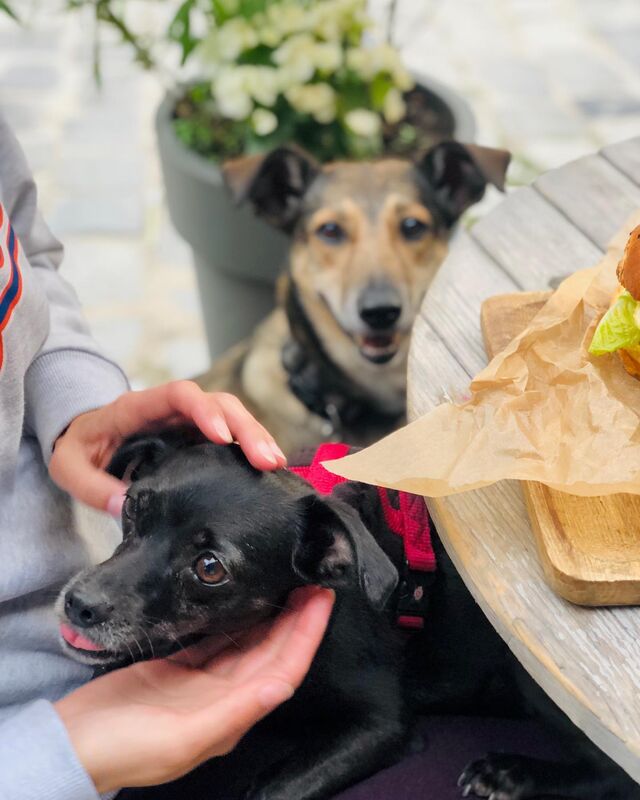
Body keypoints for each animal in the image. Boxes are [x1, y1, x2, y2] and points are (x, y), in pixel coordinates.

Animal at [58, 429, 639, 800]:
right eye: (132, 506)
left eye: (210, 568)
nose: (78, 603)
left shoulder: (383, 725)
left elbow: (270, 791)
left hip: (532, 676)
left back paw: (513, 774)